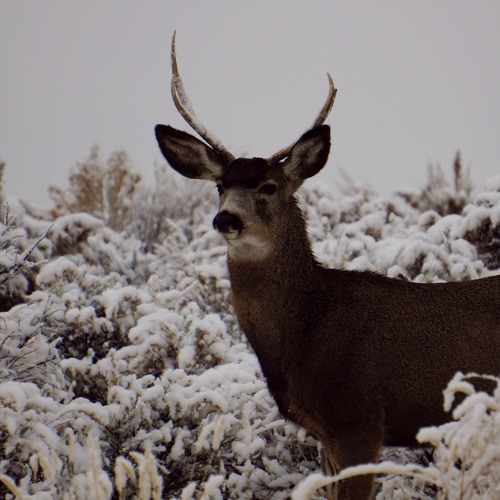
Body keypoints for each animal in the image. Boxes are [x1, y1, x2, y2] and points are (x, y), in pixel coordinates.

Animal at [154, 33, 500, 498]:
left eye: (269, 186)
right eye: (220, 185)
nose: (226, 219)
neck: (306, 330)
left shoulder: (358, 420)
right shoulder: (328, 436)